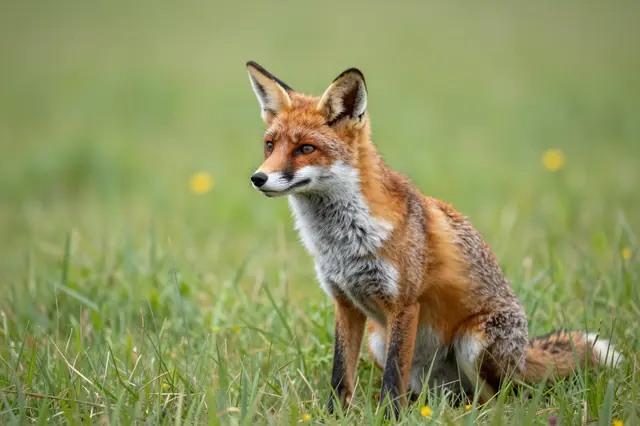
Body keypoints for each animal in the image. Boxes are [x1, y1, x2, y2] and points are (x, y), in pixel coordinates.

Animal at [244, 61, 623, 416]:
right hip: (381, 343)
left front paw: (390, 417)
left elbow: (392, 377)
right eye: (269, 145)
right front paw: (334, 416)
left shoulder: (404, 304)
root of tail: (523, 353)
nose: (258, 178)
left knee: (498, 399)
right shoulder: (345, 302)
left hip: (473, 343)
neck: (343, 241)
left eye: (305, 148)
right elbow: (341, 375)